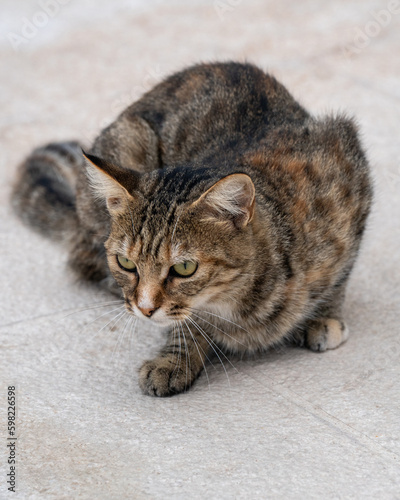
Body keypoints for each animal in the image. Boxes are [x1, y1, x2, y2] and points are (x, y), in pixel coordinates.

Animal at [11, 61, 372, 394]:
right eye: (125, 263)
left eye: (184, 268)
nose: (144, 309)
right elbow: (186, 323)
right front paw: (175, 358)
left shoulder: (346, 163)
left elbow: (341, 273)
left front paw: (323, 315)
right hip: (125, 145)